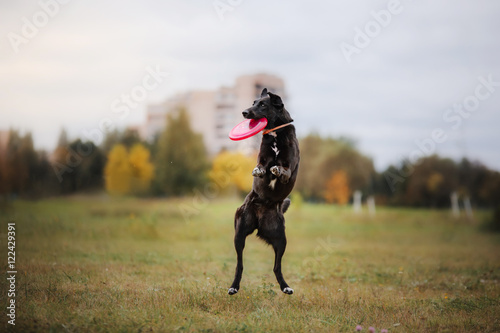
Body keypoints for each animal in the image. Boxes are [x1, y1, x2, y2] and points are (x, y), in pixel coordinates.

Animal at [228, 87, 300, 294]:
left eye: (262, 104)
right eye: (253, 102)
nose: (244, 112)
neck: (275, 134)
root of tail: (259, 221)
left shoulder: (290, 166)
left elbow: (284, 170)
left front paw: (277, 170)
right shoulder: (262, 158)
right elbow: (261, 166)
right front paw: (259, 170)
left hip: (281, 239)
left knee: (276, 266)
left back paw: (286, 287)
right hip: (240, 232)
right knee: (240, 264)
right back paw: (234, 287)